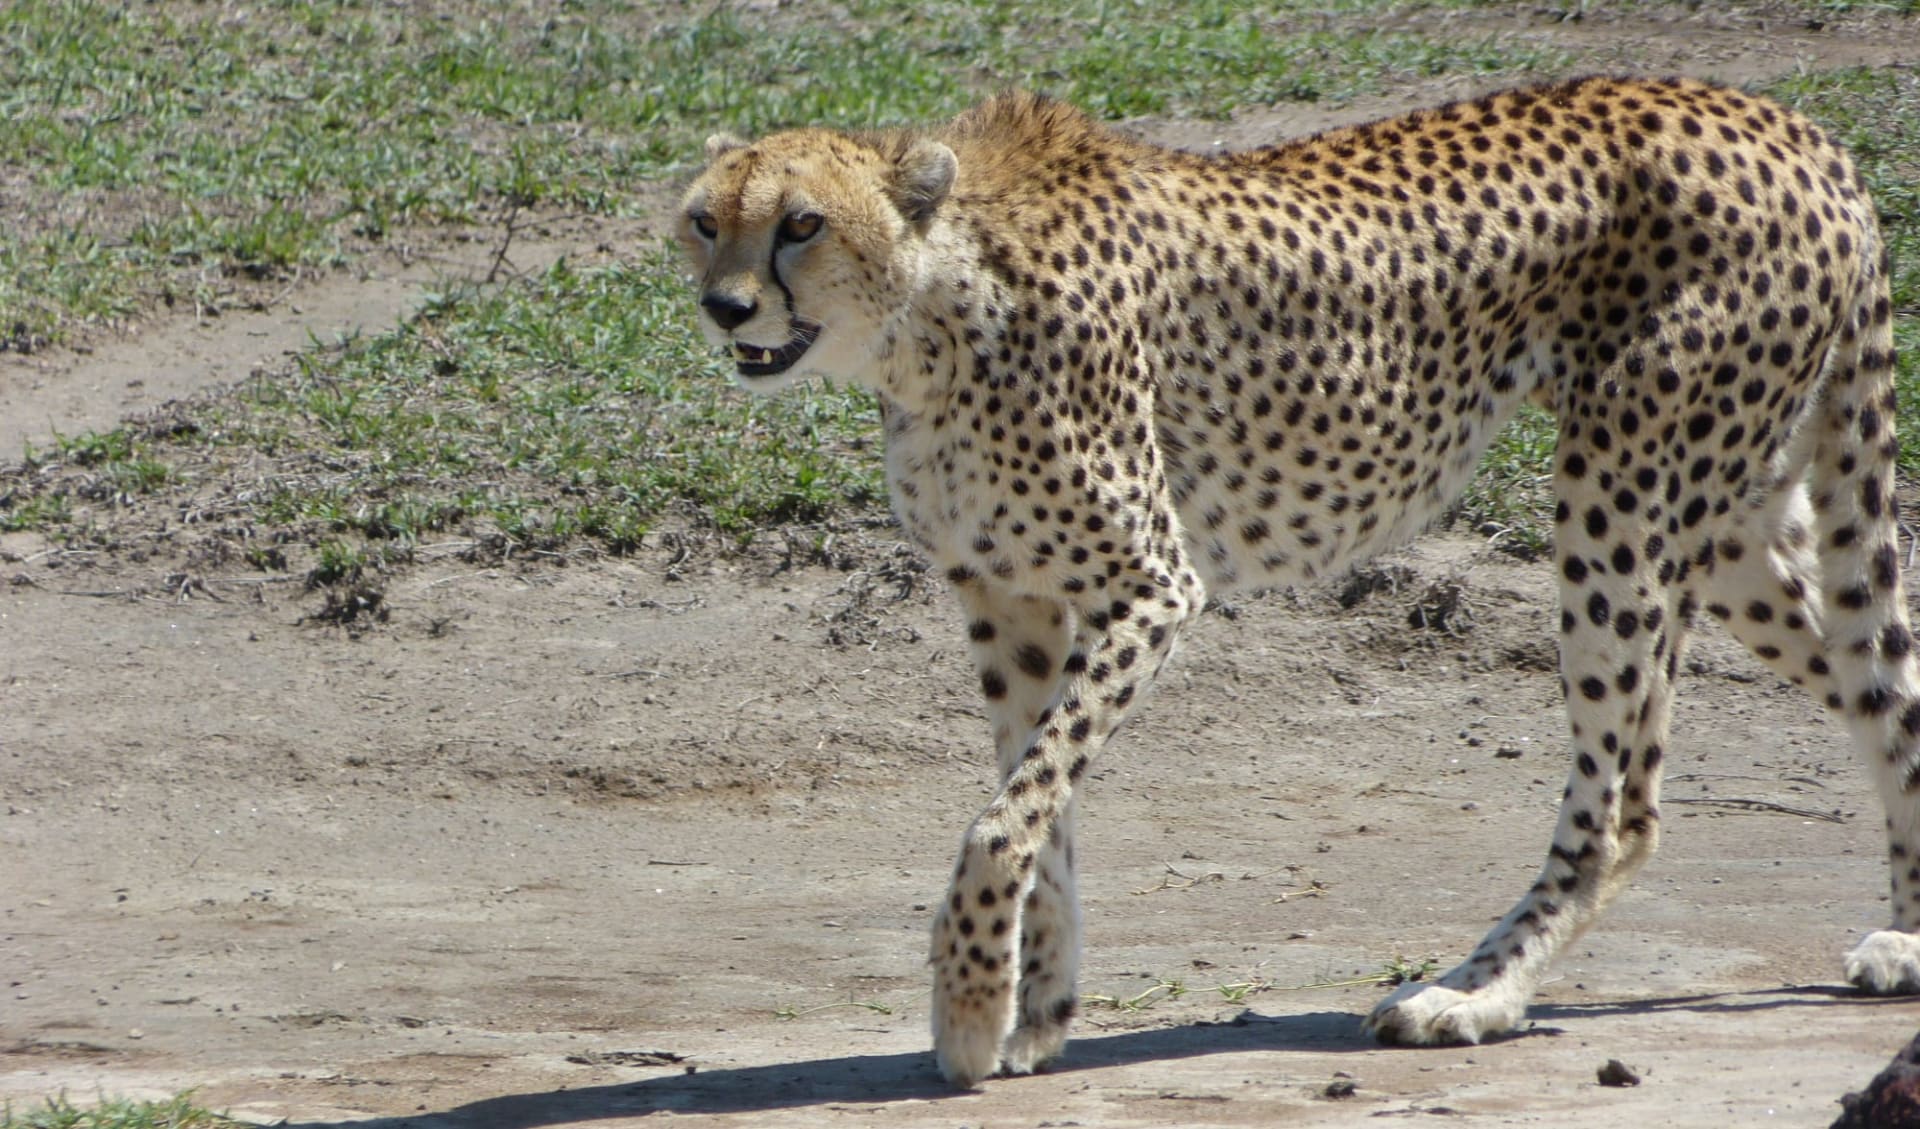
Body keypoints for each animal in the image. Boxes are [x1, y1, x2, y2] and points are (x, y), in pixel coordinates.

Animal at [679, 77, 1920, 1082]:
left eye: (800, 225)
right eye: (705, 220)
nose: (724, 306)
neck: (934, 312)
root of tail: (1790, 124)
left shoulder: (1150, 585)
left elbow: (1003, 818)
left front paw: (970, 1008)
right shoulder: (1009, 600)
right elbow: (1039, 811)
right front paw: (1035, 1012)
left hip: (1623, 500)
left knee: (1624, 805)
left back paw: (1472, 995)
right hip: (1728, 524)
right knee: (1883, 689)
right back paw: (1906, 938)